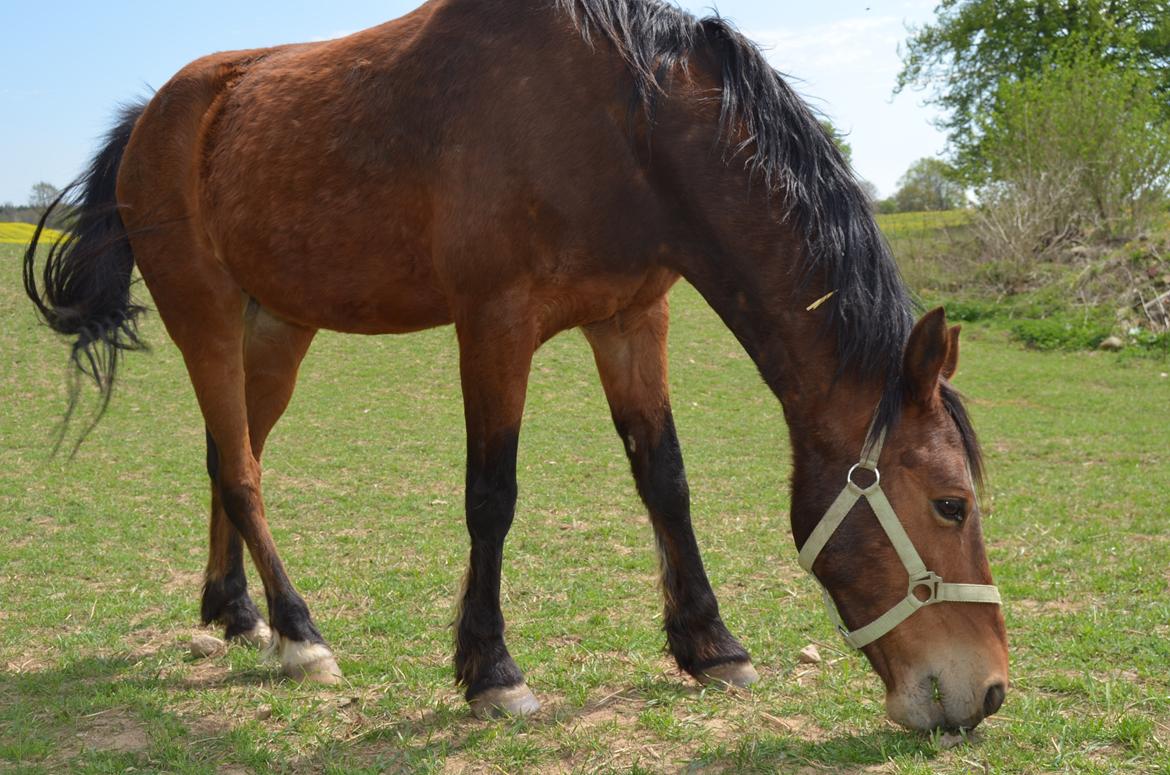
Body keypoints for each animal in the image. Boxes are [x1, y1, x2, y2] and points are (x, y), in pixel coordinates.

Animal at [22, 0, 1006, 735]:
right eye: (950, 504)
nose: (989, 690)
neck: (624, 123)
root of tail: (155, 113)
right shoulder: (494, 324)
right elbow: (491, 494)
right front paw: (491, 670)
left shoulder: (630, 319)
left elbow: (665, 479)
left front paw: (710, 644)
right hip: (206, 318)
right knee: (242, 471)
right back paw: (299, 633)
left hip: (277, 330)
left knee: (230, 459)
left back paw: (234, 611)